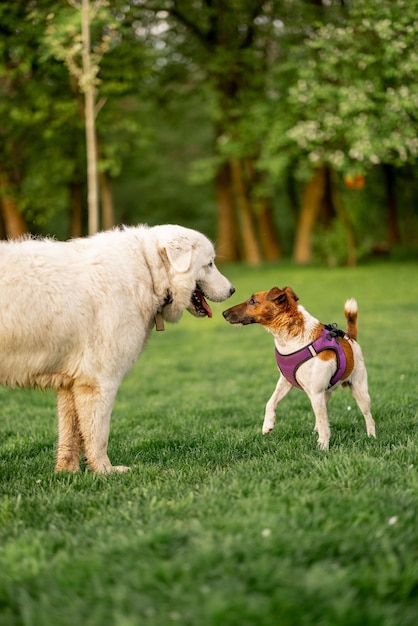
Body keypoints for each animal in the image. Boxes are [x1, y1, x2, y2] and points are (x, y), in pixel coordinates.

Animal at [0, 224, 235, 472]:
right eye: (209, 264)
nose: (233, 290)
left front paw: (67, 472)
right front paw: (106, 471)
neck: (148, 271)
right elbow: (98, 435)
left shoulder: (69, 383)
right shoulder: (100, 381)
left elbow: (70, 435)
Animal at [224, 286, 378, 450]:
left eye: (252, 301)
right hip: (325, 394)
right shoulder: (286, 382)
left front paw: (323, 447)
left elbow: (324, 424)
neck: (289, 338)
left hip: (359, 391)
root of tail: (351, 338)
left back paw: (371, 437)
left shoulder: (316, 392)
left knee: (368, 417)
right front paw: (267, 424)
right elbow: (270, 402)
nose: (223, 313)